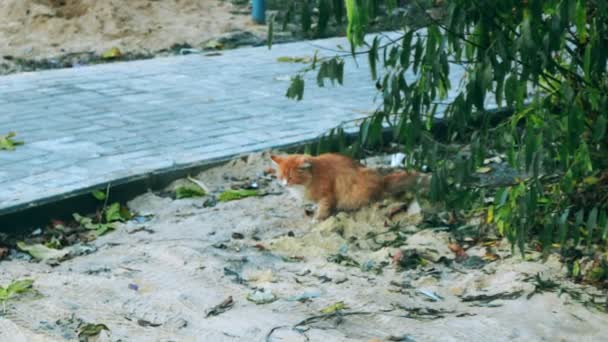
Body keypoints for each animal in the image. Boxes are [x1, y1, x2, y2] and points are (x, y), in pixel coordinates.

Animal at [270, 153, 428, 222]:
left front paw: (317, 218)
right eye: (281, 177)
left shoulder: (327, 194)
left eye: (291, 177)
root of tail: (382, 181)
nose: (284, 184)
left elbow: (323, 208)